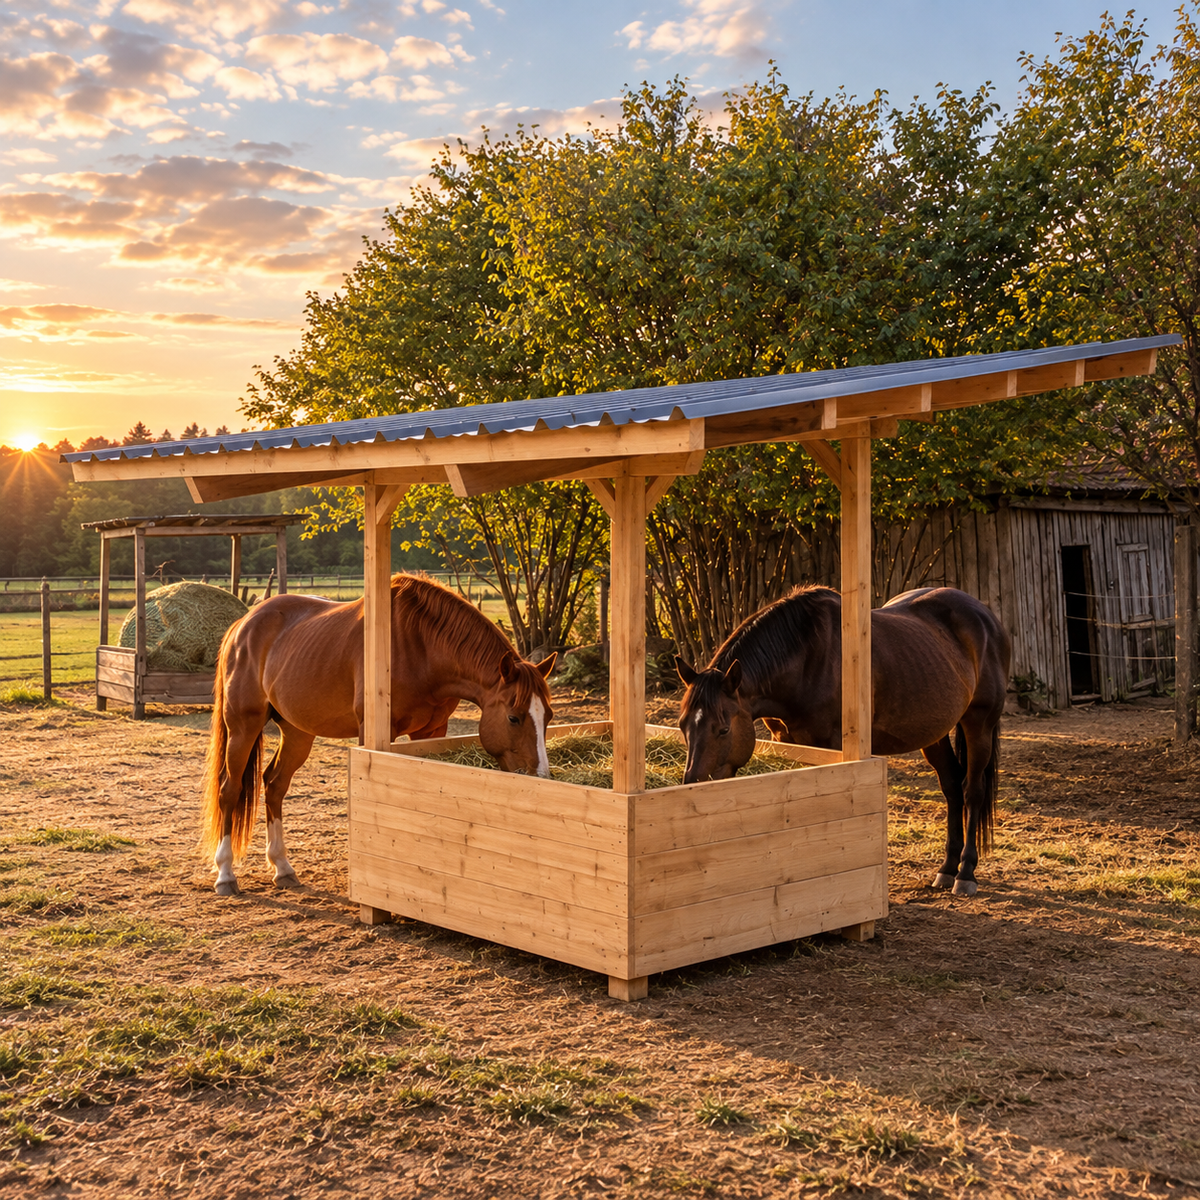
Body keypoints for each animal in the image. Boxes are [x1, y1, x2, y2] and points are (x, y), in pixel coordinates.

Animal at [200, 573, 557, 896]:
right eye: (513, 717)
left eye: (549, 716)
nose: (540, 776)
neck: (420, 646)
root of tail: (242, 625)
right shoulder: (371, 732)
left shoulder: (430, 731)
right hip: (243, 726)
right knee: (230, 789)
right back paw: (226, 874)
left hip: (298, 732)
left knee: (274, 785)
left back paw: (283, 868)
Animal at [674, 586, 1011, 897]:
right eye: (682, 726)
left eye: (723, 730)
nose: (692, 785)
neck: (806, 659)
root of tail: (985, 615)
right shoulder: (788, 740)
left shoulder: (832, 746)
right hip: (934, 732)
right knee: (952, 787)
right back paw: (946, 869)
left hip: (979, 724)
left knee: (972, 791)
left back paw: (965, 873)